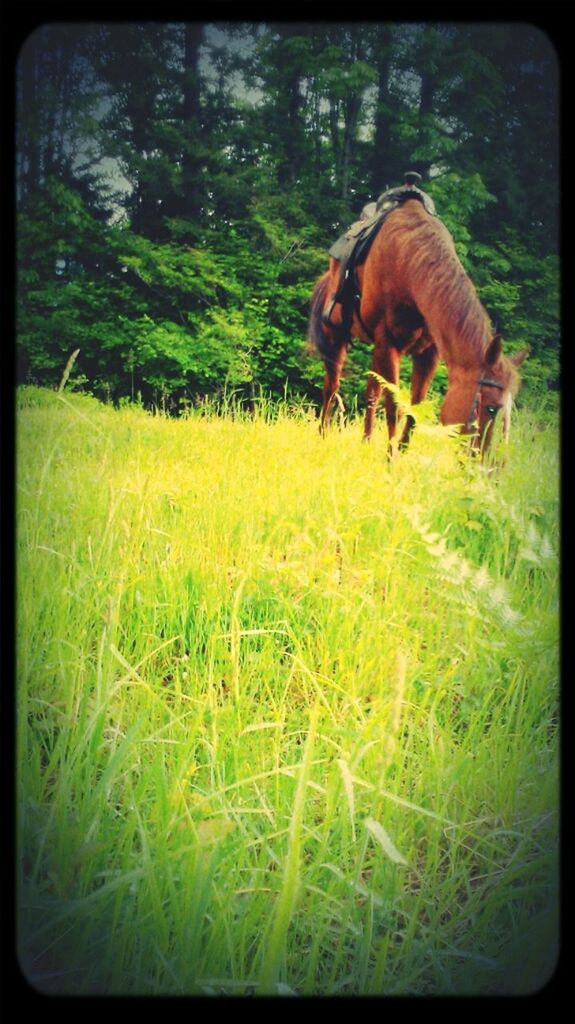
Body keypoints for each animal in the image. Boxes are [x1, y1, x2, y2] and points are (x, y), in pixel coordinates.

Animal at [306, 198, 527, 452]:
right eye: (491, 408)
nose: (479, 457)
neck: (409, 264)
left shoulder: (427, 353)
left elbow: (415, 409)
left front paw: (400, 453)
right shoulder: (388, 344)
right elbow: (394, 406)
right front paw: (390, 458)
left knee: (371, 391)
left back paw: (366, 443)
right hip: (336, 337)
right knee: (331, 388)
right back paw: (323, 437)